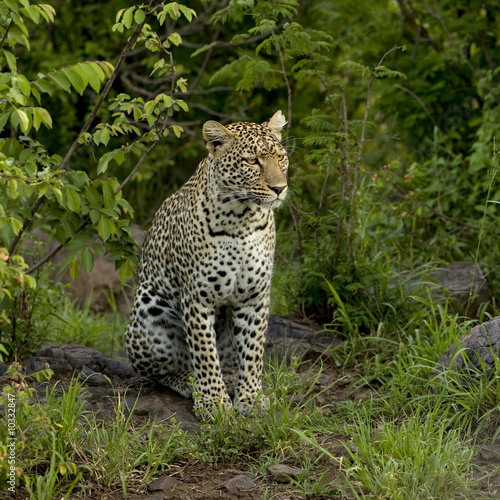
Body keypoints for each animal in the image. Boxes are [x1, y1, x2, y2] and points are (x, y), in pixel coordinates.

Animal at [125, 109, 290, 418]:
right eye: (252, 161)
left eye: (281, 158)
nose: (280, 188)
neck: (242, 219)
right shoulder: (198, 296)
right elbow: (203, 351)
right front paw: (214, 402)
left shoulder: (255, 296)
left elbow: (253, 351)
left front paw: (250, 398)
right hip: (148, 306)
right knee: (162, 371)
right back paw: (190, 383)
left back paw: (234, 381)